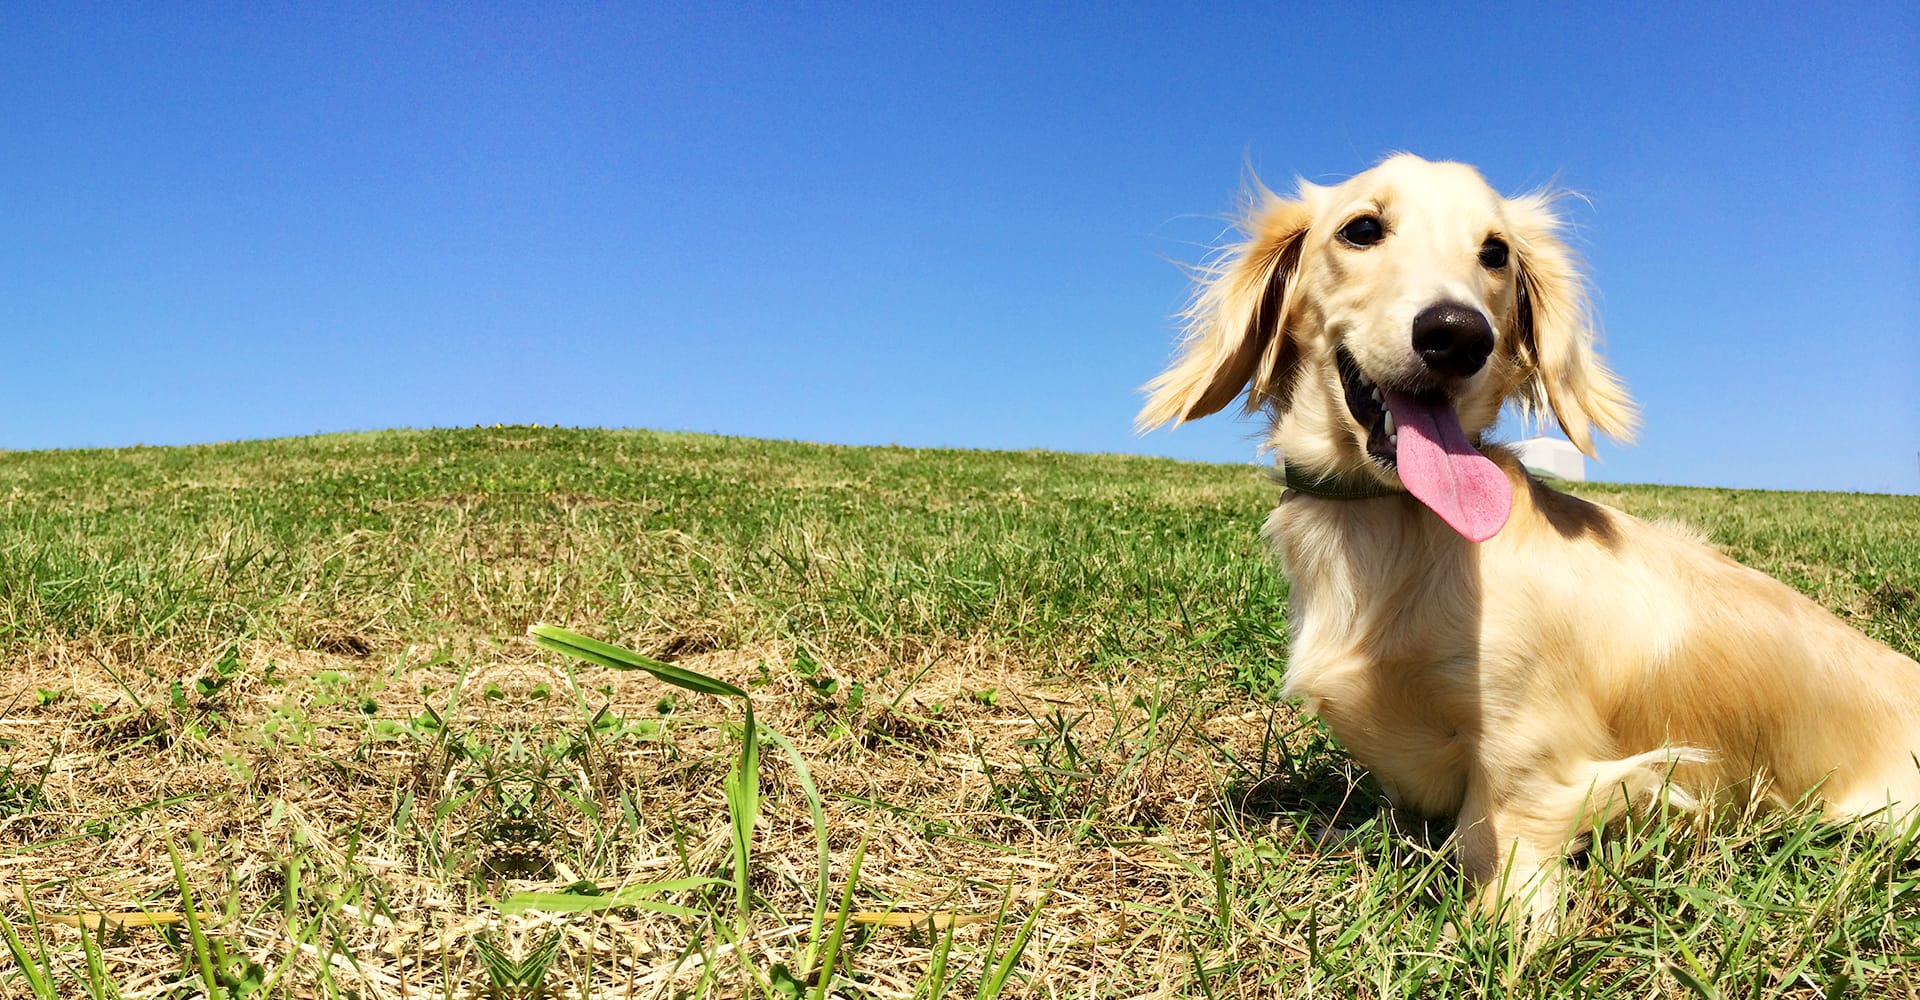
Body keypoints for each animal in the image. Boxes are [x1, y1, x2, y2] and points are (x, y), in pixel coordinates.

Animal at [1136, 153, 1920, 921]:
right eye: (1361, 229)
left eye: (1495, 252)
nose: (1459, 334)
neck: (1392, 524)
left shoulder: (1530, 751)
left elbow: (1498, 845)